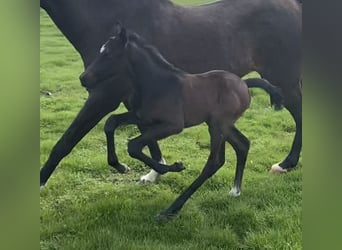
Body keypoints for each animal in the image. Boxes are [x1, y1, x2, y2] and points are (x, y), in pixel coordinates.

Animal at [40, 0, 302, 187]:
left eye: (109, 55)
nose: (83, 79)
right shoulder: (136, 101)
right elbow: (145, 134)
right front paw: (155, 172)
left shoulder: (104, 96)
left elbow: (66, 142)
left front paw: (41, 183)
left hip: (283, 77)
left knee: (300, 113)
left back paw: (286, 163)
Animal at [79, 26, 284, 220]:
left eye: (108, 54)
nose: (83, 78)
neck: (156, 83)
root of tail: (244, 84)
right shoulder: (142, 117)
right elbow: (111, 122)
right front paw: (120, 166)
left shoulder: (173, 125)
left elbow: (134, 145)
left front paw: (173, 167)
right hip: (222, 124)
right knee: (242, 144)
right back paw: (235, 190)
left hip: (218, 125)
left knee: (214, 162)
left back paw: (170, 210)